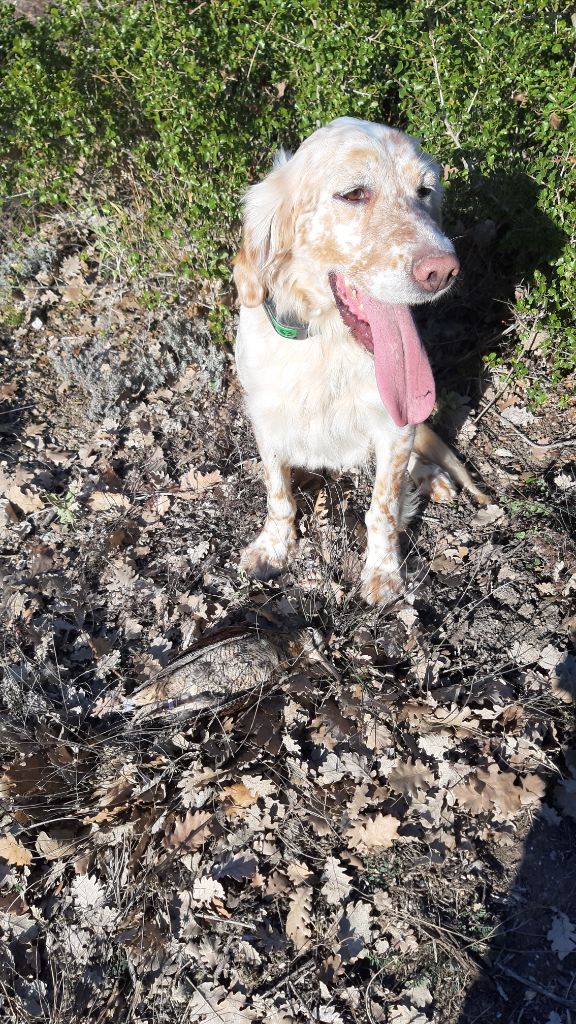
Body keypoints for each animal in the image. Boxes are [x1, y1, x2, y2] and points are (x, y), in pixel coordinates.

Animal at [234, 117, 487, 606]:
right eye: (353, 194)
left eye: (426, 191)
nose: (443, 270)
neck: (329, 342)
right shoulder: (266, 418)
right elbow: (279, 494)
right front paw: (273, 548)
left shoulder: (398, 424)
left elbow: (382, 508)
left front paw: (384, 574)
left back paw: (433, 478)